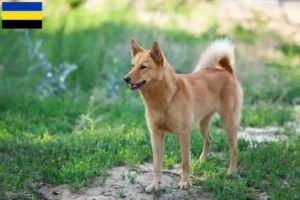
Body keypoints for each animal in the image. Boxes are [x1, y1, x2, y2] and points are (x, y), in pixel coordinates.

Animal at [123, 38, 243, 192]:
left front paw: (185, 182)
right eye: (132, 65)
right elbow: (156, 165)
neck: (164, 99)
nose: (125, 78)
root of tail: (226, 71)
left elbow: (185, 163)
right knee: (208, 139)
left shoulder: (183, 135)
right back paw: (201, 162)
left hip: (228, 123)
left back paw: (231, 172)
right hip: (202, 124)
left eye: (143, 67)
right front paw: (155, 185)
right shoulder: (156, 136)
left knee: (234, 149)